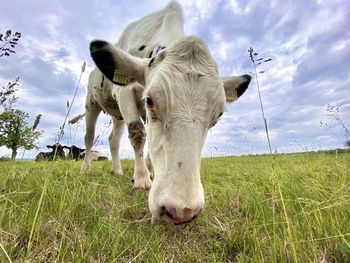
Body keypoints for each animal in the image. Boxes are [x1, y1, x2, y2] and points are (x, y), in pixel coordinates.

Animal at [82, 1, 252, 225]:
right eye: (150, 101)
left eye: (218, 116)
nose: (182, 210)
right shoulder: (124, 92)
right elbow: (137, 133)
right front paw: (142, 179)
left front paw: (149, 172)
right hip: (91, 104)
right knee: (89, 136)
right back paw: (85, 168)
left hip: (116, 115)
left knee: (113, 139)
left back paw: (117, 170)